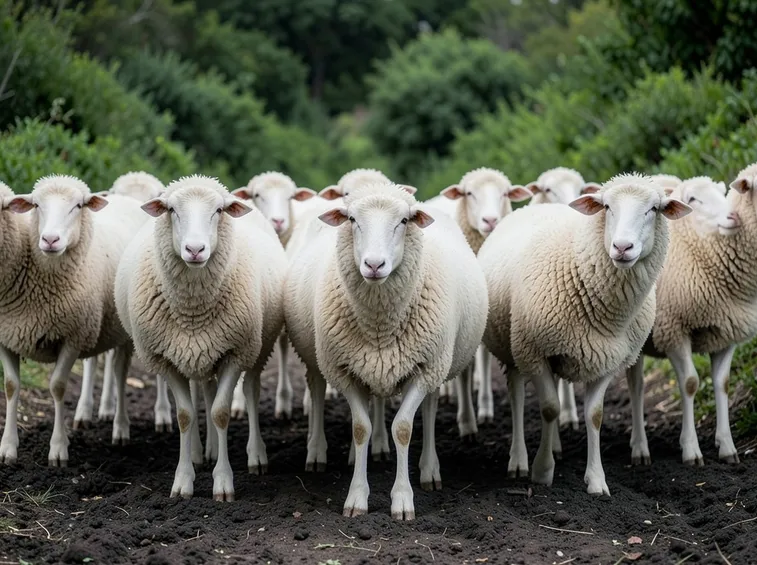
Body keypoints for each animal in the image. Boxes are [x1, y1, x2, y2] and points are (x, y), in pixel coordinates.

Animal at [1, 175, 149, 466]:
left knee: (120, 372)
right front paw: (8, 448)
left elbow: (58, 386)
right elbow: (11, 386)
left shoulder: (73, 336)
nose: (50, 239)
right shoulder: (7, 336)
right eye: (37, 205)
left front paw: (58, 449)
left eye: (78, 206)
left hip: (126, 330)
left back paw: (121, 429)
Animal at [115, 175, 287, 499]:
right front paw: (183, 481)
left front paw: (223, 482)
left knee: (249, 391)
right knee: (200, 393)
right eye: (171, 210)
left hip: (256, 346)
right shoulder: (165, 358)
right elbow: (185, 415)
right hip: (195, 352)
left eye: (218, 211)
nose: (195, 250)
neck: (193, 309)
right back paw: (200, 451)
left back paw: (254, 455)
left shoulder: (235, 352)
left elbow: (220, 411)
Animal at [285, 181, 488, 520]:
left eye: (404, 221)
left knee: (430, 409)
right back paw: (318, 453)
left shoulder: (424, 369)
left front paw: (403, 500)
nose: (374, 265)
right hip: (318, 357)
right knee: (317, 390)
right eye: (352, 219)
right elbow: (360, 428)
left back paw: (429, 470)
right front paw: (356, 497)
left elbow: (404, 428)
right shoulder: (344, 371)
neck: (380, 325)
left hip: (437, 364)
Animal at [425, 167, 532, 431]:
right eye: (469, 194)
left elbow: (482, 358)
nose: (490, 220)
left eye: (504, 193)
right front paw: (467, 419)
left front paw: (484, 409)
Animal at [626, 173, 753, 467]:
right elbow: (690, 383)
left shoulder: (725, 333)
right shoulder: (673, 331)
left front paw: (727, 446)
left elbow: (722, 383)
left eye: (722, 192)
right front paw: (692, 450)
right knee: (636, 388)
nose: (733, 216)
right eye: (693, 199)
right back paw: (639, 448)